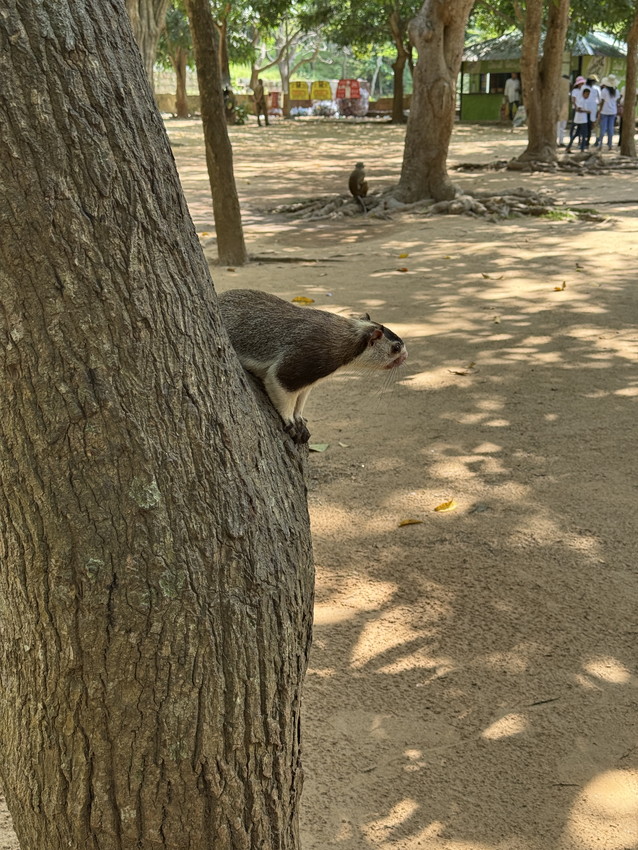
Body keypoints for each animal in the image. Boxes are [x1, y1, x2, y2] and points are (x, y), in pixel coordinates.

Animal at [218, 289, 407, 444]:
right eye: (396, 347)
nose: (406, 356)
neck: (348, 337)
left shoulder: (309, 379)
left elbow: (301, 399)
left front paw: (299, 418)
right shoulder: (301, 363)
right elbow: (281, 389)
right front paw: (291, 422)